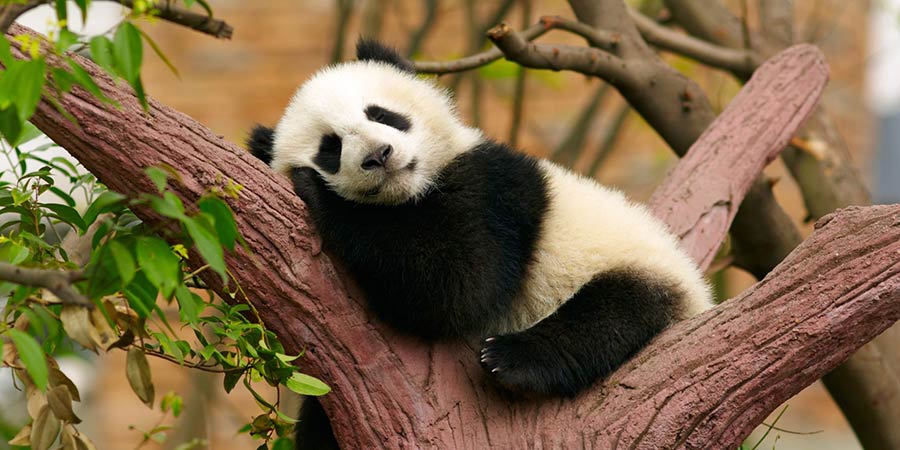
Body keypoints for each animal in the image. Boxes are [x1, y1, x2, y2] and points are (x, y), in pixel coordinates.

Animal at [248, 39, 712, 447]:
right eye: (330, 148)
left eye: (382, 114)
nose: (379, 155)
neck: (411, 193)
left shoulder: (493, 190)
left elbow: (459, 284)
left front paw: (320, 194)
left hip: (638, 265)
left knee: (612, 313)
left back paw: (512, 359)